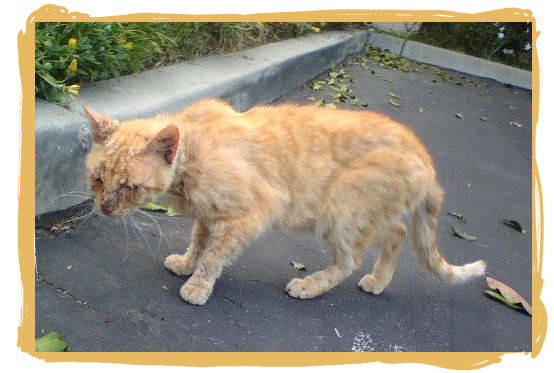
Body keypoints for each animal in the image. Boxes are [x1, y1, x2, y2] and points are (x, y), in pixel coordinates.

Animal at [84, 99, 486, 306]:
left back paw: (310, 286)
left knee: (351, 259)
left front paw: (198, 285)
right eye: (98, 179)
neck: (193, 153)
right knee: (398, 233)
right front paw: (186, 264)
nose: (104, 208)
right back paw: (379, 281)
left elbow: (214, 255)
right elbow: (199, 241)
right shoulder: (211, 214)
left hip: (342, 210)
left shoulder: (249, 214)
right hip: (369, 215)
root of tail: (426, 158)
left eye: (131, 186)